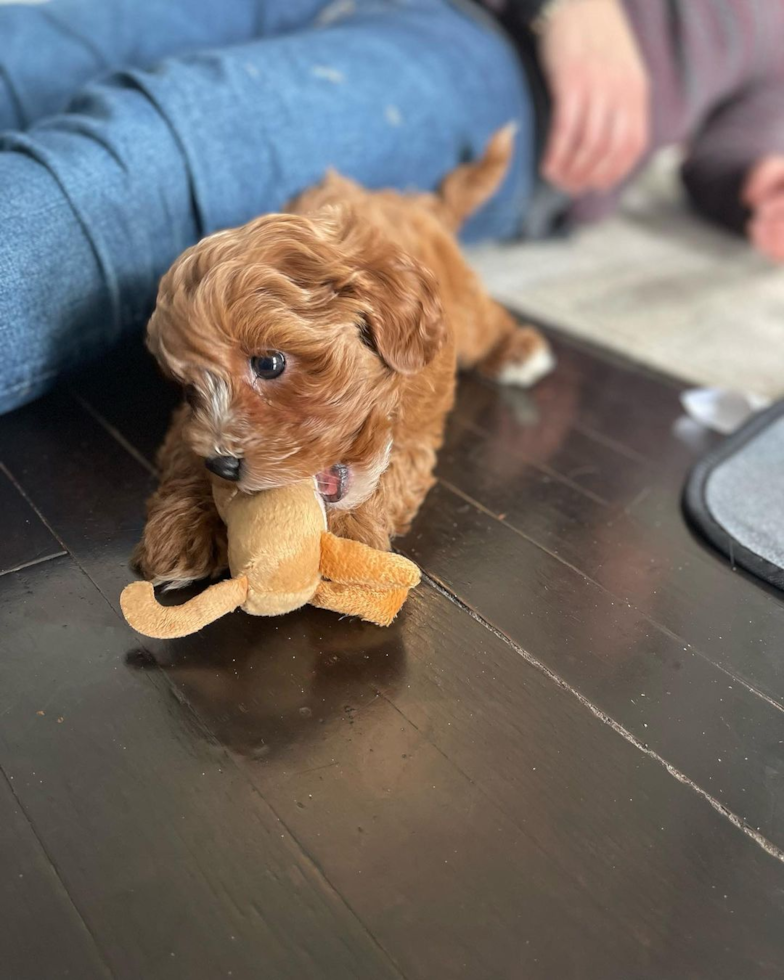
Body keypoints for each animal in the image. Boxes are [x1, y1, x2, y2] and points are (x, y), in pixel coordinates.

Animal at [133, 121, 552, 580]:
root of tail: (414, 202)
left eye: (269, 363)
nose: (223, 465)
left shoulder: (414, 427)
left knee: (485, 316)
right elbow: (184, 456)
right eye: (191, 391)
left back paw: (518, 350)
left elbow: (393, 471)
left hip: (462, 305)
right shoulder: (186, 426)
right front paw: (183, 527)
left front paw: (350, 535)